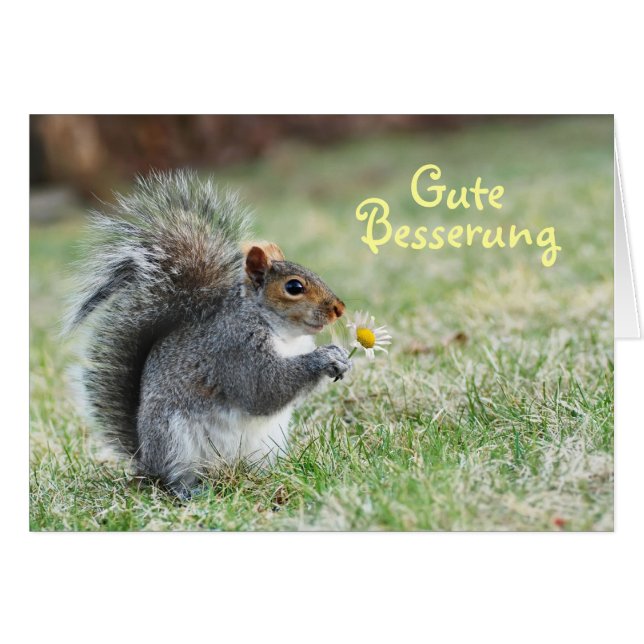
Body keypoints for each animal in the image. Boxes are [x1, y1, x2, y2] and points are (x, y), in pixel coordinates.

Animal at [67, 170, 351, 497]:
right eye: (294, 287)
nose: (339, 309)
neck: (284, 334)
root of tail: (144, 459)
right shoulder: (235, 349)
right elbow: (264, 388)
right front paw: (324, 358)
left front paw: (342, 357)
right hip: (174, 439)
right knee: (173, 478)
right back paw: (190, 491)